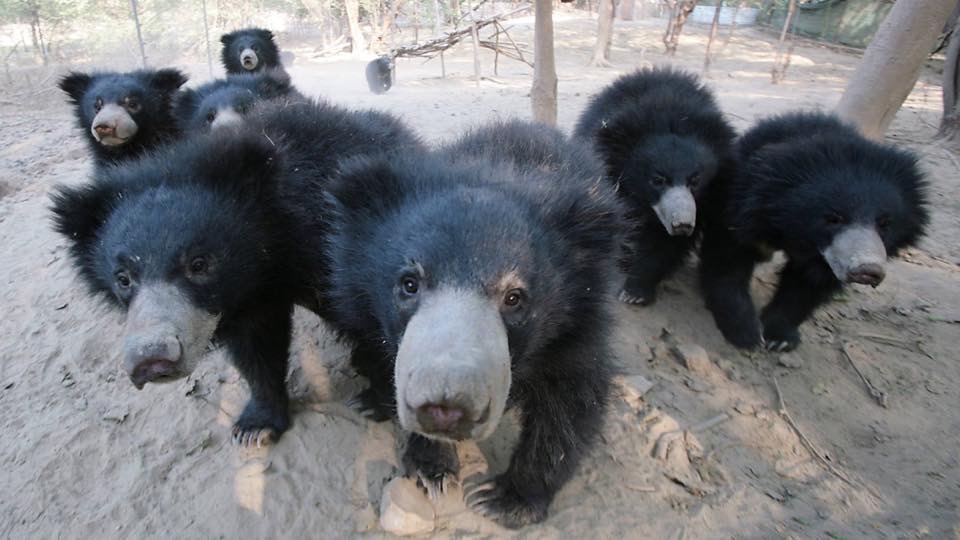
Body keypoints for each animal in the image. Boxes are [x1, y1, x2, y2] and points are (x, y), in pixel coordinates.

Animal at [50, 98, 423, 446]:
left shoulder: (340, 265)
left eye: (199, 264)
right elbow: (256, 350)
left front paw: (374, 402)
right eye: (123, 278)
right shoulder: (247, 297)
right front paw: (255, 427)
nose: (151, 360)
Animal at [323, 120, 624, 528]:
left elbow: (571, 402)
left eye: (514, 297)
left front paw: (505, 500)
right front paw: (431, 472)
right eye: (409, 283)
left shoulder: (578, 329)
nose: (446, 406)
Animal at [574, 66, 736, 306]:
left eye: (695, 181)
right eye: (657, 180)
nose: (682, 224)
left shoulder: (705, 201)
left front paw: (635, 292)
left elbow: (665, 246)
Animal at [699, 111, 928, 351]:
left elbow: (808, 286)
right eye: (833, 218)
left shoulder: (826, 259)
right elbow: (728, 258)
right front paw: (746, 332)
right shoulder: (741, 207)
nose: (868, 270)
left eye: (884, 223)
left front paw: (778, 337)